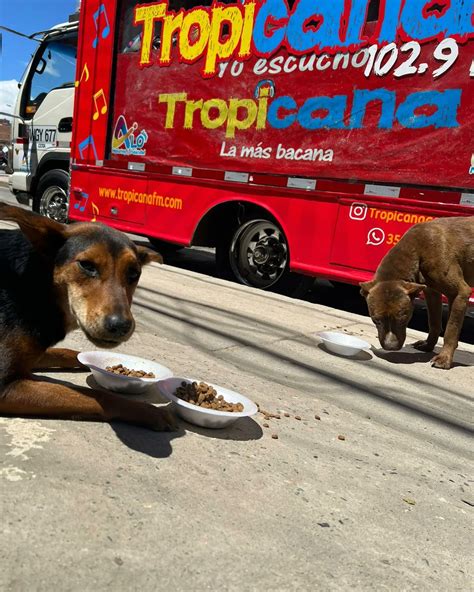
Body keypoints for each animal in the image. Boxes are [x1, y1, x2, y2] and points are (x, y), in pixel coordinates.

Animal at [0, 204, 176, 430]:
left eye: (134, 273)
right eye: (86, 265)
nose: (121, 326)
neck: (35, 282)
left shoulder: (33, 354)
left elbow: (67, 352)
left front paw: (87, 361)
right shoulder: (4, 384)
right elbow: (96, 397)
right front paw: (149, 411)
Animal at [362, 215, 472, 368]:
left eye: (403, 318)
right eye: (376, 320)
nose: (391, 346)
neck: (417, 250)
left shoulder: (460, 293)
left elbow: (451, 329)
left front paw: (444, 358)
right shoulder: (431, 293)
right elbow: (434, 321)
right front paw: (428, 345)